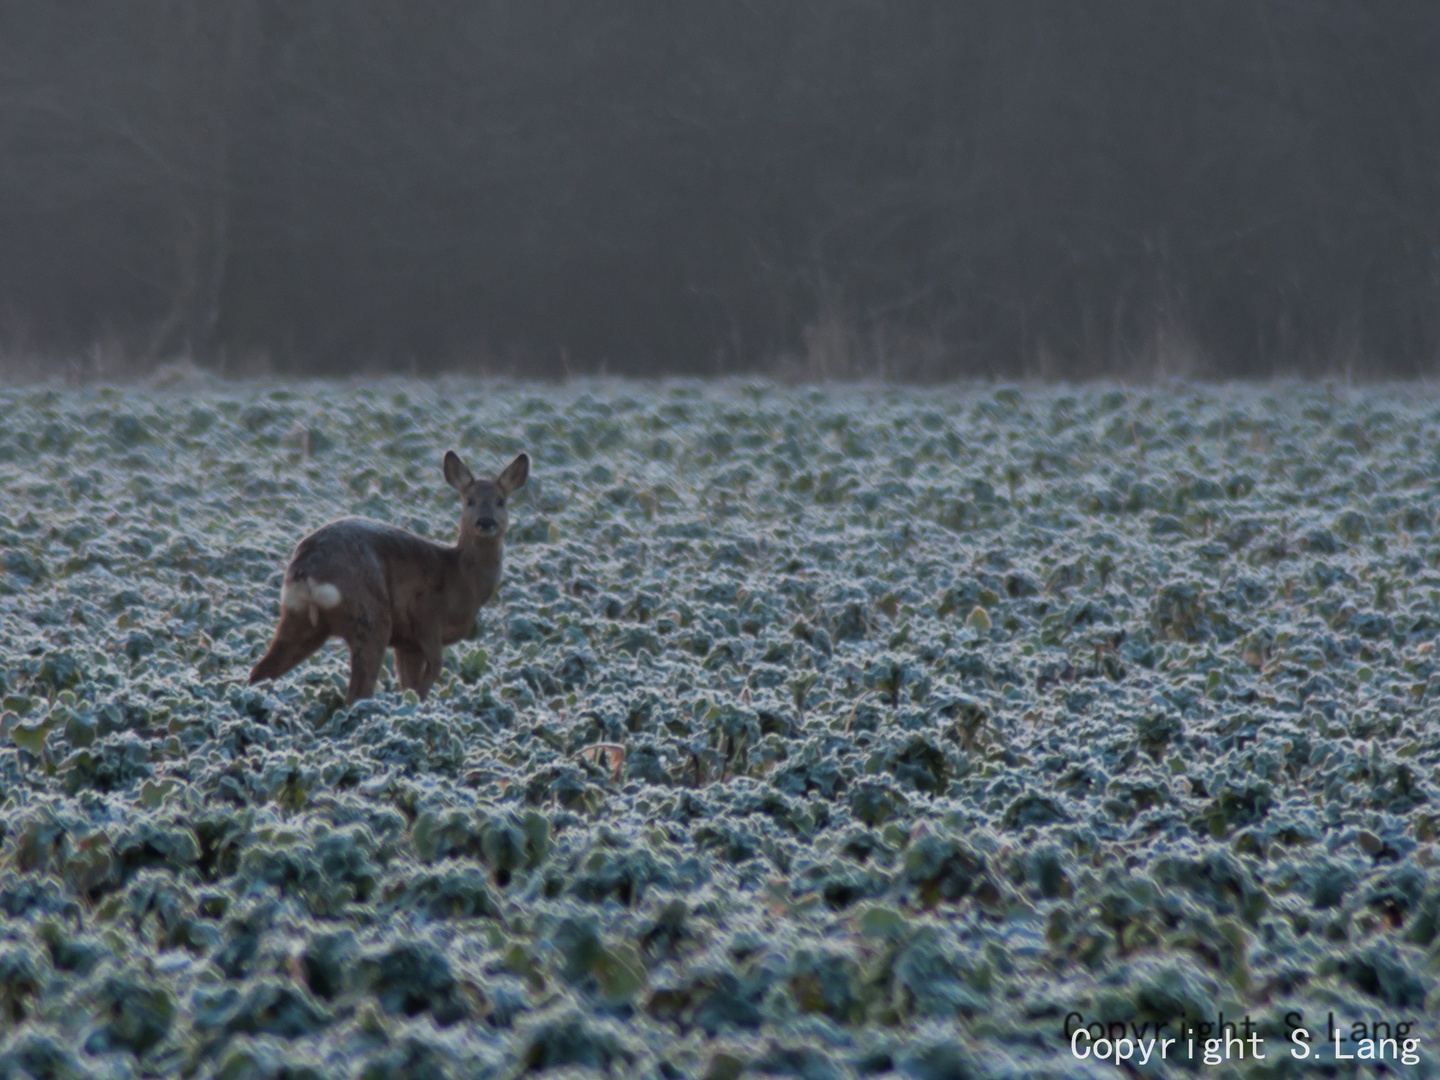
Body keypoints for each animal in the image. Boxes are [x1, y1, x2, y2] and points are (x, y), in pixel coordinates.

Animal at [247, 452, 529, 705]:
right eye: (469, 500)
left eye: (501, 501)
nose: (485, 522)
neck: (463, 580)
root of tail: (309, 570)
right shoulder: (426, 613)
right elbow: (434, 667)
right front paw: (419, 705)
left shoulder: (408, 643)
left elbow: (409, 682)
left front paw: (409, 703)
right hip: (370, 615)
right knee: (358, 692)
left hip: (298, 618)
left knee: (261, 670)